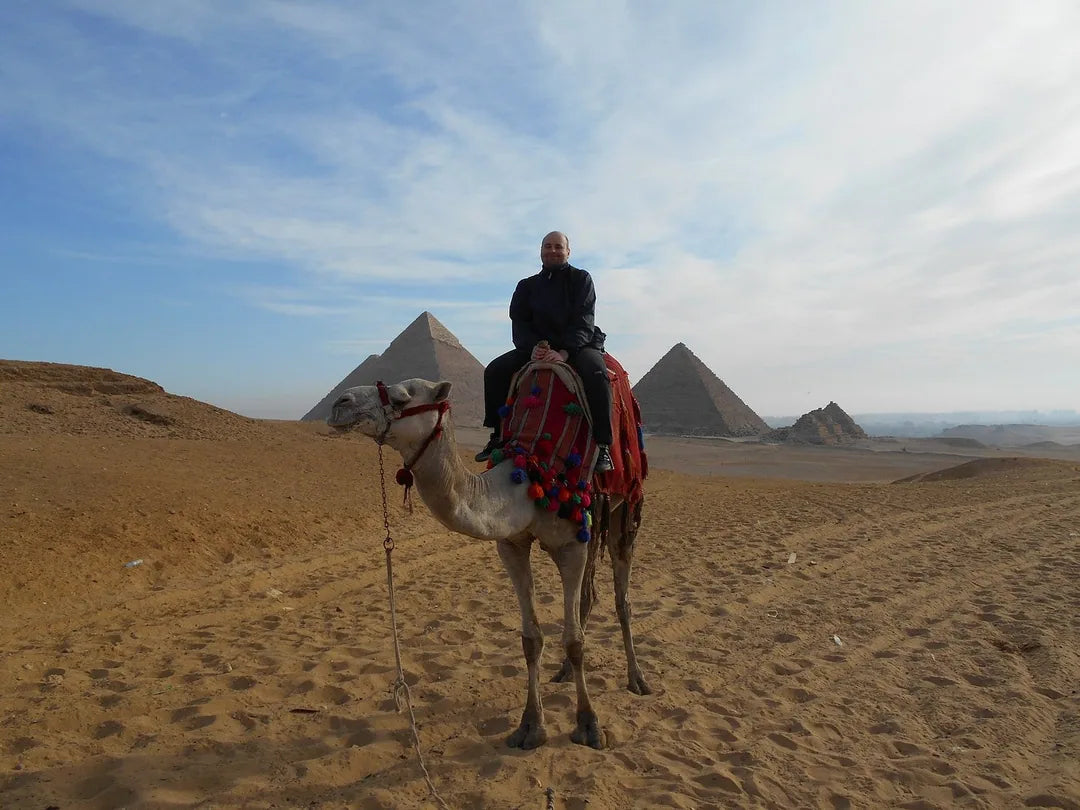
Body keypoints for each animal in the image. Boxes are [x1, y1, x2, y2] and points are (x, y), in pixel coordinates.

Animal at [328, 377, 649, 750]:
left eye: (401, 398)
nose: (340, 403)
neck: (527, 481)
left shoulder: (572, 544)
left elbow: (574, 640)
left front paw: (589, 725)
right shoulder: (511, 544)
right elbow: (531, 638)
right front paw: (530, 726)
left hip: (624, 506)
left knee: (621, 598)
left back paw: (637, 679)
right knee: (590, 595)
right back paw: (564, 672)